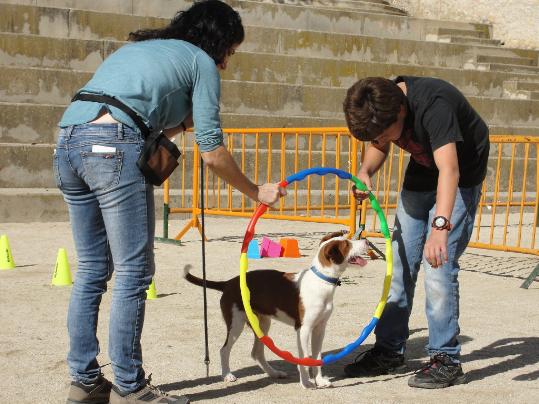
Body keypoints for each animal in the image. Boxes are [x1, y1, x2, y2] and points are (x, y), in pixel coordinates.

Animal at [184, 230, 370, 388]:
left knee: (256, 353)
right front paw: (306, 383)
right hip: (236, 324)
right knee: (224, 350)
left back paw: (273, 373)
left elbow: (317, 358)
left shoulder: (319, 329)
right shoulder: (303, 330)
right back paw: (227, 375)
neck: (321, 281)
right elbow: (304, 358)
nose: (367, 241)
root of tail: (228, 283)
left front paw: (319, 381)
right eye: (347, 244)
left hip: (263, 324)